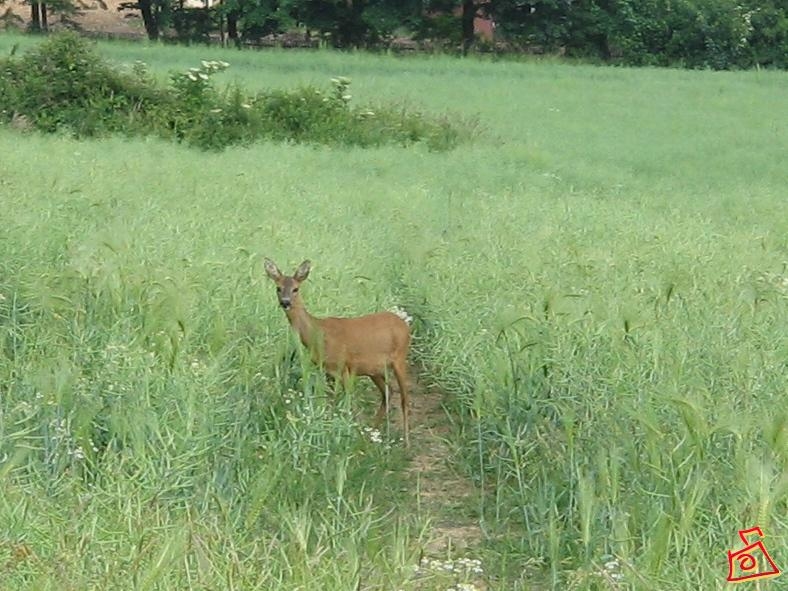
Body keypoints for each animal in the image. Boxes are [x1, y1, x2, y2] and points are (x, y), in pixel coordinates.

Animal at [264, 260, 412, 448]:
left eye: (296, 289)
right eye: (278, 287)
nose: (285, 302)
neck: (318, 334)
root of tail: (404, 324)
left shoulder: (345, 366)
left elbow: (347, 402)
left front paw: (344, 434)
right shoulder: (327, 370)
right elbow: (332, 401)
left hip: (400, 358)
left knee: (404, 398)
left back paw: (406, 442)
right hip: (374, 370)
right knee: (388, 392)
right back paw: (371, 433)